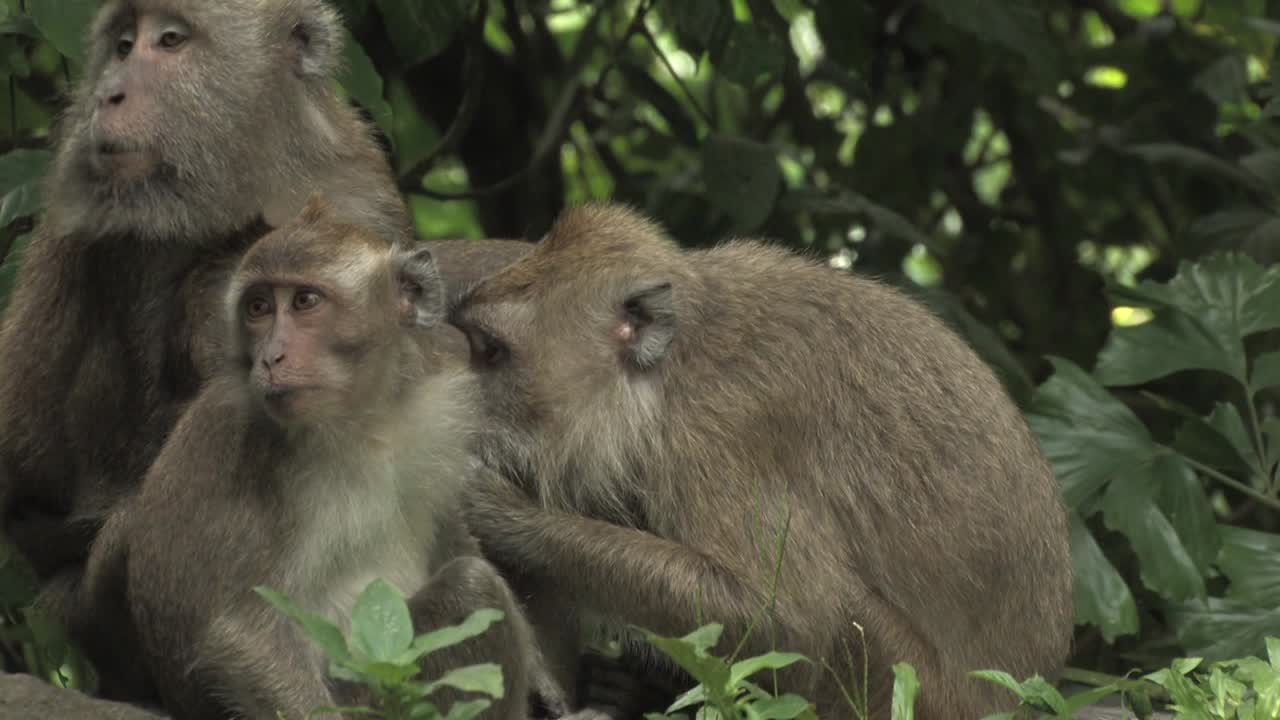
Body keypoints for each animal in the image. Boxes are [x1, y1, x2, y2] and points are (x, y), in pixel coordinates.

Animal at [72, 198, 559, 720]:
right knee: (472, 588)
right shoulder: (245, 444)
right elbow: (241, 633)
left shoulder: (438, 412)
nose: (271, 357)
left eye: (305, 301)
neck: (366, 420)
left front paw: (544, 679)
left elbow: (451, 537)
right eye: (258, 308)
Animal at [448, 203, 1074, 719]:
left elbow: (784, 621)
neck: (672, 369)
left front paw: (502, 514)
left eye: (492, 353)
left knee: (843, 616)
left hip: (923, 695)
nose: (459, 406)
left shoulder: (723, 432)